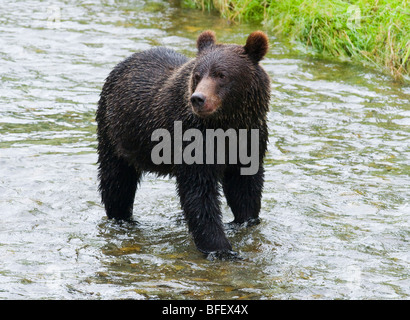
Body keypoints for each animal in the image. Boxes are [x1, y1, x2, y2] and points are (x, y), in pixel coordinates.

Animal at [95, 30, 270, 258]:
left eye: (221, 74)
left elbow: (245, 188)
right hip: (115, 133)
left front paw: (246, 221)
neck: (226, 124)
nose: (198, 98)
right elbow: (199, 195)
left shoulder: (250, 139)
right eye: (198, 75)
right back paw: (123, 218)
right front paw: (221, 249)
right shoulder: (192, 140)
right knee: (116, 181)